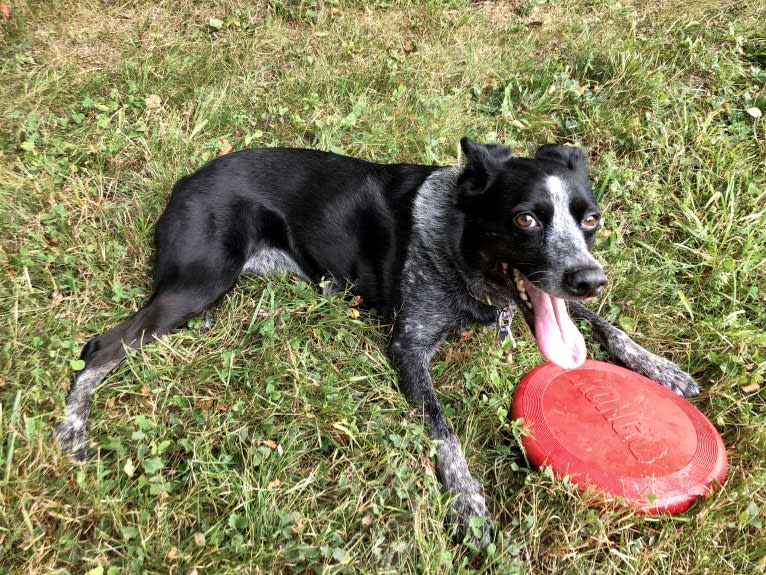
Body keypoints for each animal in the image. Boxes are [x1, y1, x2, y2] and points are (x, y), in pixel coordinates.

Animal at [55, 140, 704, 544]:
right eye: (525, 219)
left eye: (589, 219)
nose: (591, 278)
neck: (457, 244)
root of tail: (187, 180)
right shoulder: (408, 347)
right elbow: (444, 432)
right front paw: (469, 505)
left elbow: (604, 323)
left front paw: (660, 367)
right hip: (199, 281)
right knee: (102, 347)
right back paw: (73, 429)